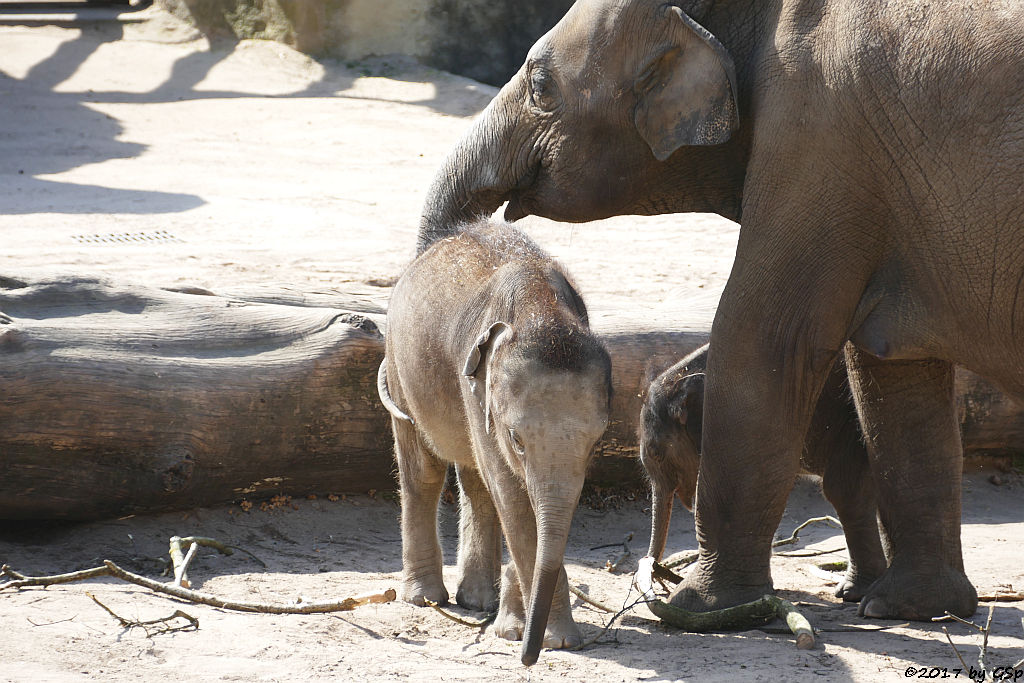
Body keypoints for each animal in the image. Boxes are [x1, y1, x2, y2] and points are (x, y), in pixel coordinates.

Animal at [380, 220, 610, 667]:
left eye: (595, 444)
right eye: (516, 440)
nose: (527, 658)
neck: (541, 308)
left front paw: (528, 630)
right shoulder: (475, 385)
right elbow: (513, 498)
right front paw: (551, 639)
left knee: (475, 480)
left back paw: (477, 600)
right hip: (401, 365)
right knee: (424, 471)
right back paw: (424, 598)